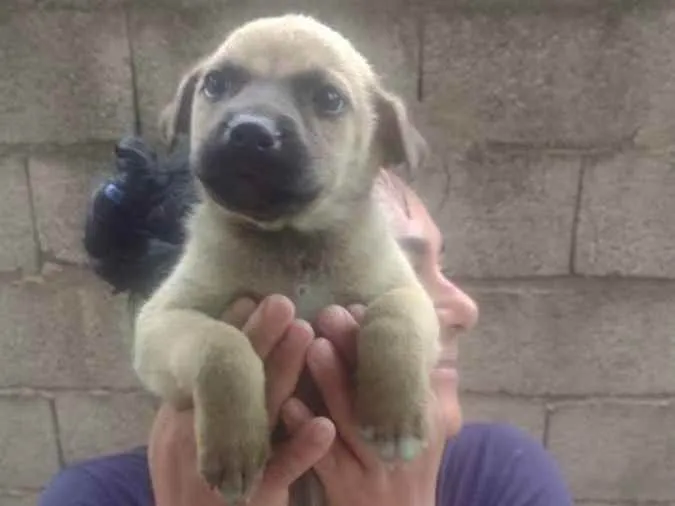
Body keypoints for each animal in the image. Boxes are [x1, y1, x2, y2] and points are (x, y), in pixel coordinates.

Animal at [136, 13, 444, 504]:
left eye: (330, 99)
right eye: (216, 84)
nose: (249, 132)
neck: (292, 242)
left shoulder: (410, 294)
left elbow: (395, 318)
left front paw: (394, 417)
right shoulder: (161, 321)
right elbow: (222, 345)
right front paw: (236, 447)